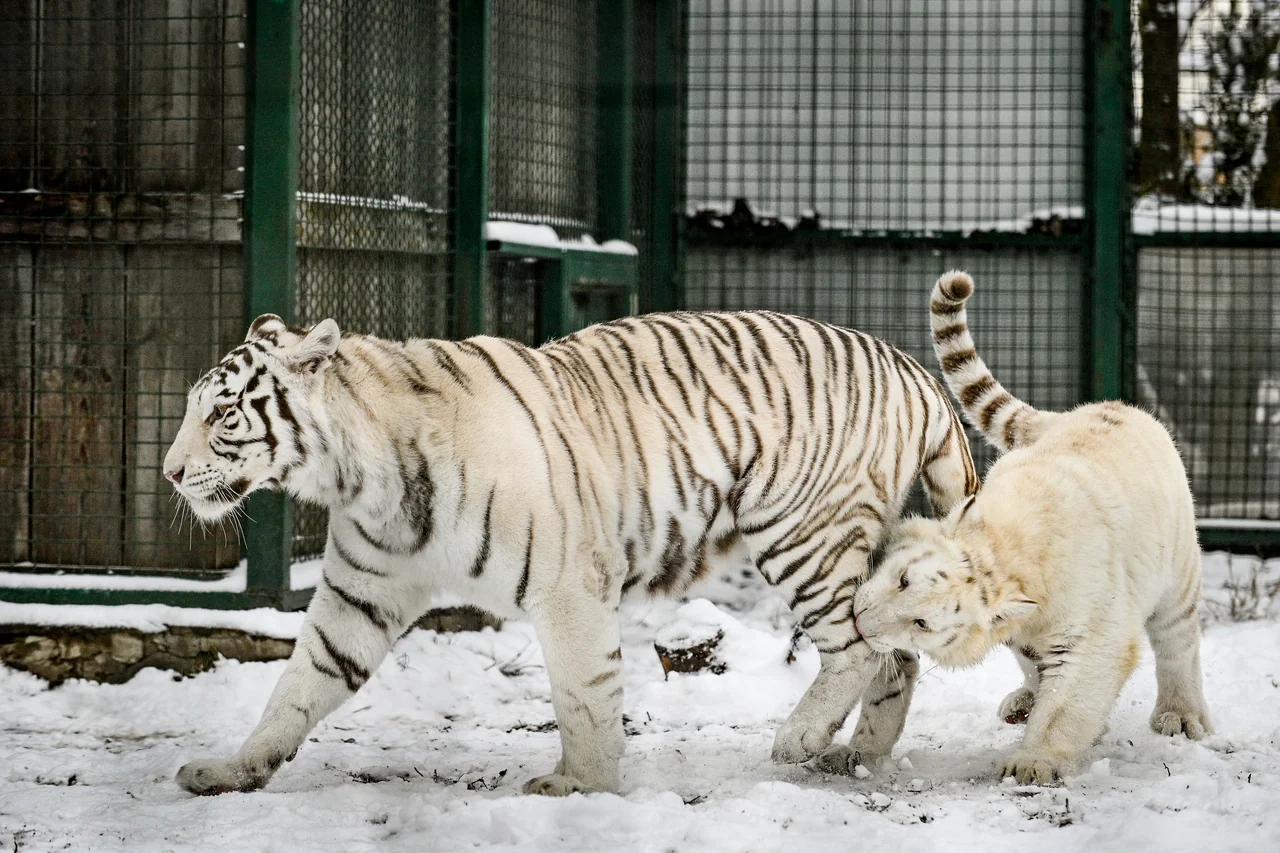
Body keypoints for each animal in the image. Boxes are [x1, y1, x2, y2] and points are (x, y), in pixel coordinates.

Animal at [163, 309, 979, 796]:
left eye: (224, 413)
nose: (169, 471)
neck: (360, 481)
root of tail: (915, 370)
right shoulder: (360, 595)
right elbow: (298, 687)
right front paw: (232, 768)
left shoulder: (567, 584)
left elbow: (584, 693)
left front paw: (579, 785)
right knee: (898, 655)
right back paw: (857, 755)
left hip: (801, 526)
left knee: (861, 647)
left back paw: (799, 739)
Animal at [851, 271, 1211, 785]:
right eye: (902, 579)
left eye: (921, 623)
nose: (861, 623)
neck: (1005, 551)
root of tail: (1100, 407)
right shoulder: (1019, 628)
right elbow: (1037, 668)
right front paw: (1035, 711)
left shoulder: (1094, 636)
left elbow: (1065, 705)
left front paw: (1033, 762)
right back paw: (1023, 700)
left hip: (1178, 575)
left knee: (1178, 641)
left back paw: (1181, 716)